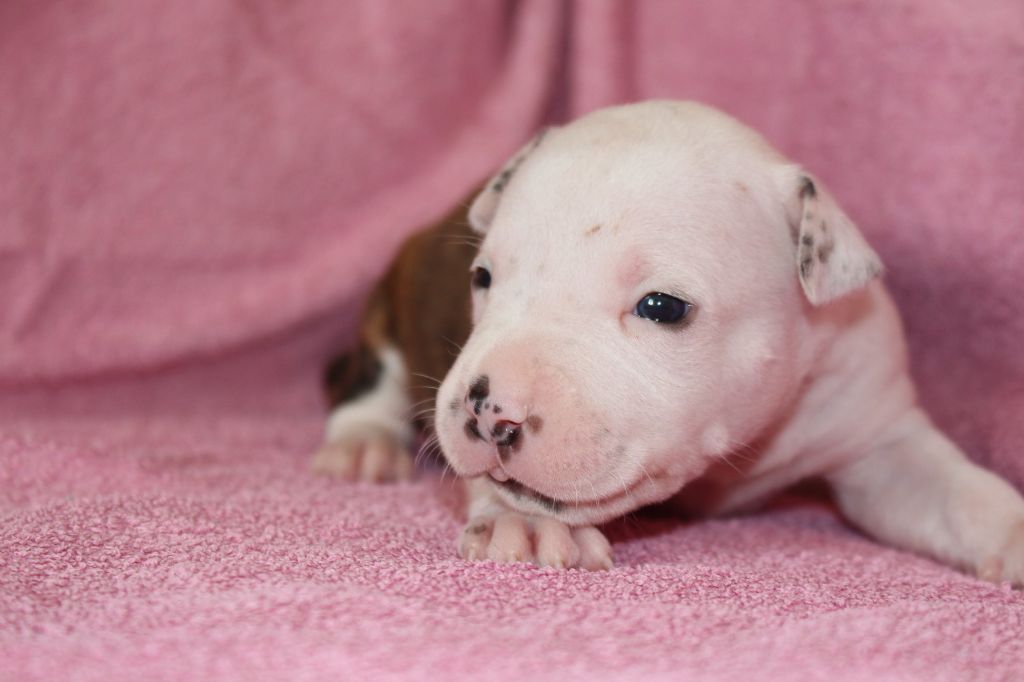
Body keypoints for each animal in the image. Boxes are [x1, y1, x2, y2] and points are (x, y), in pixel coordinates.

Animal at [313, 100, 1024, 581]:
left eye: (662, 306)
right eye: (482, 278)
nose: (489, 413)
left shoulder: (878, 436)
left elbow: (959, 492)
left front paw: (1012, 533)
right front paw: (528, 521)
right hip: (388, 306)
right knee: (372, 379)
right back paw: (362, 445)